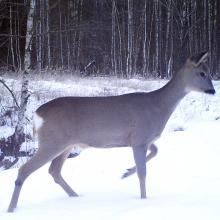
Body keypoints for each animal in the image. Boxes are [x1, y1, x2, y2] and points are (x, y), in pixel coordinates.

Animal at [8, 51, 215, 211]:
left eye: (209, 72)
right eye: (202, 73)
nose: (213, 91)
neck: (158, 107)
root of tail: (36, 114)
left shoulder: (140, 139)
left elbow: (155, 151)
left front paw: (125, 172)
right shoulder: (139, 138)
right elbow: (143, 173)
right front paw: (143, 200)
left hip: (66, 144)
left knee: (54, 171)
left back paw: (76, 196)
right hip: (52, 141)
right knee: (24, 169)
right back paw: (11, 209)